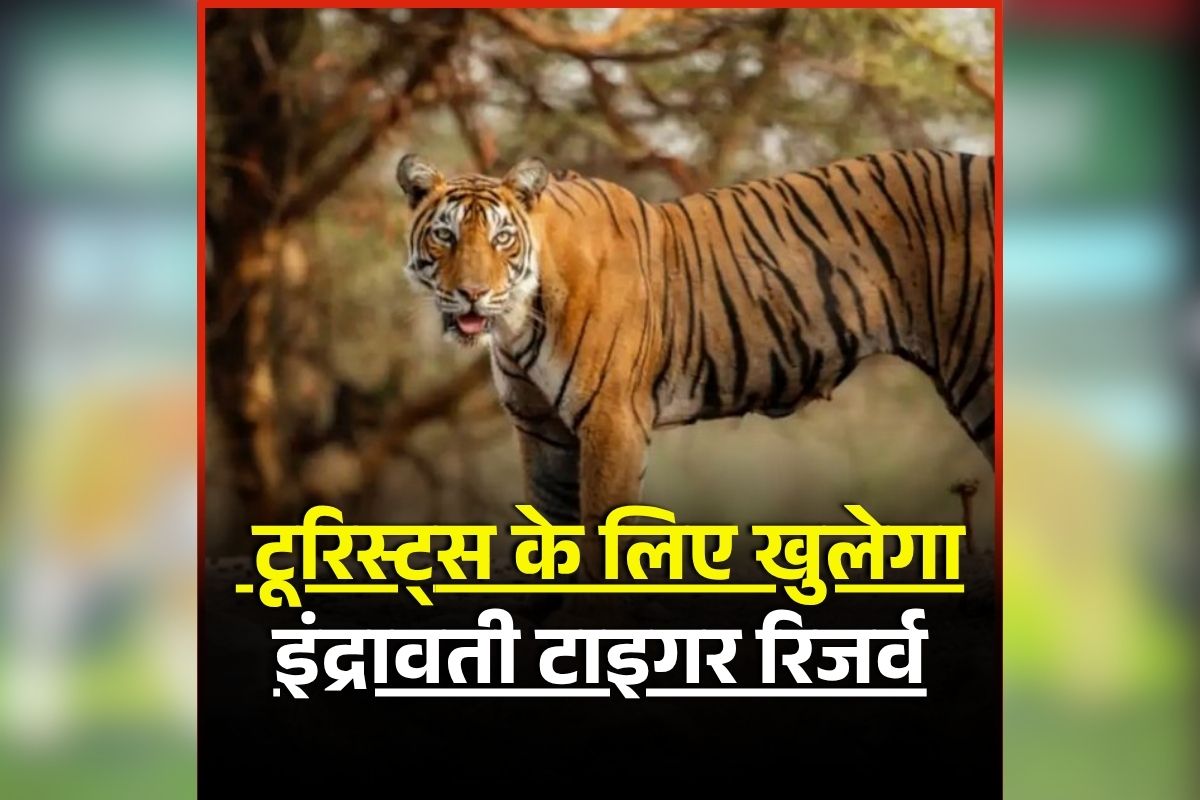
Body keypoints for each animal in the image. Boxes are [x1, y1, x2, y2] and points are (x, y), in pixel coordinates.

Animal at [396, 149, 995, 577]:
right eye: (445, 235)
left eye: (502, 238)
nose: (472, 295)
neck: (519, 321)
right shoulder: (541, 429)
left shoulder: (612, 420)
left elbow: (601, 538)